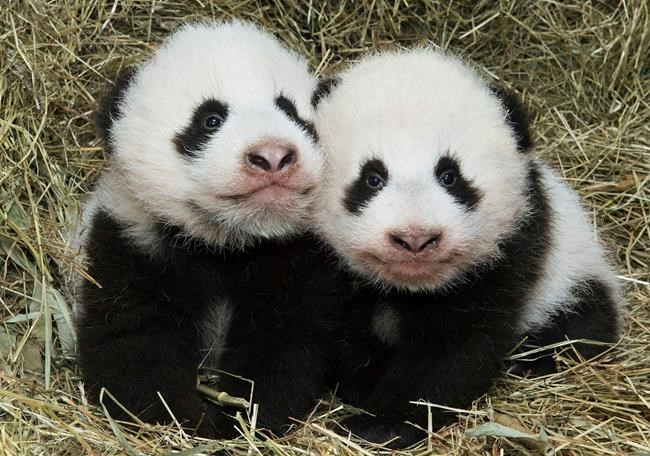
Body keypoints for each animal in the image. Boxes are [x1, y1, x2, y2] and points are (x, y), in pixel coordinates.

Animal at [75, 21, 345, 438]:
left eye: (291, 112)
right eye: (210, 120)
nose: (272, 155)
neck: (228, 242)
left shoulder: (298, 256)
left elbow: (284, 341)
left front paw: (242, 421)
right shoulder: (129, 241)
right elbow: (133, 339)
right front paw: (185, 422)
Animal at [312, 48, 624, 447]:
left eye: (450, 176)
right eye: (373, 178)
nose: (415, 238)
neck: (408, 287)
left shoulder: (509, 251)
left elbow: (455, 349)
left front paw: (381, 424)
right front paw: (362, 387)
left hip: (571, 275)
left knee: (582, 323)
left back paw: (532, 360)